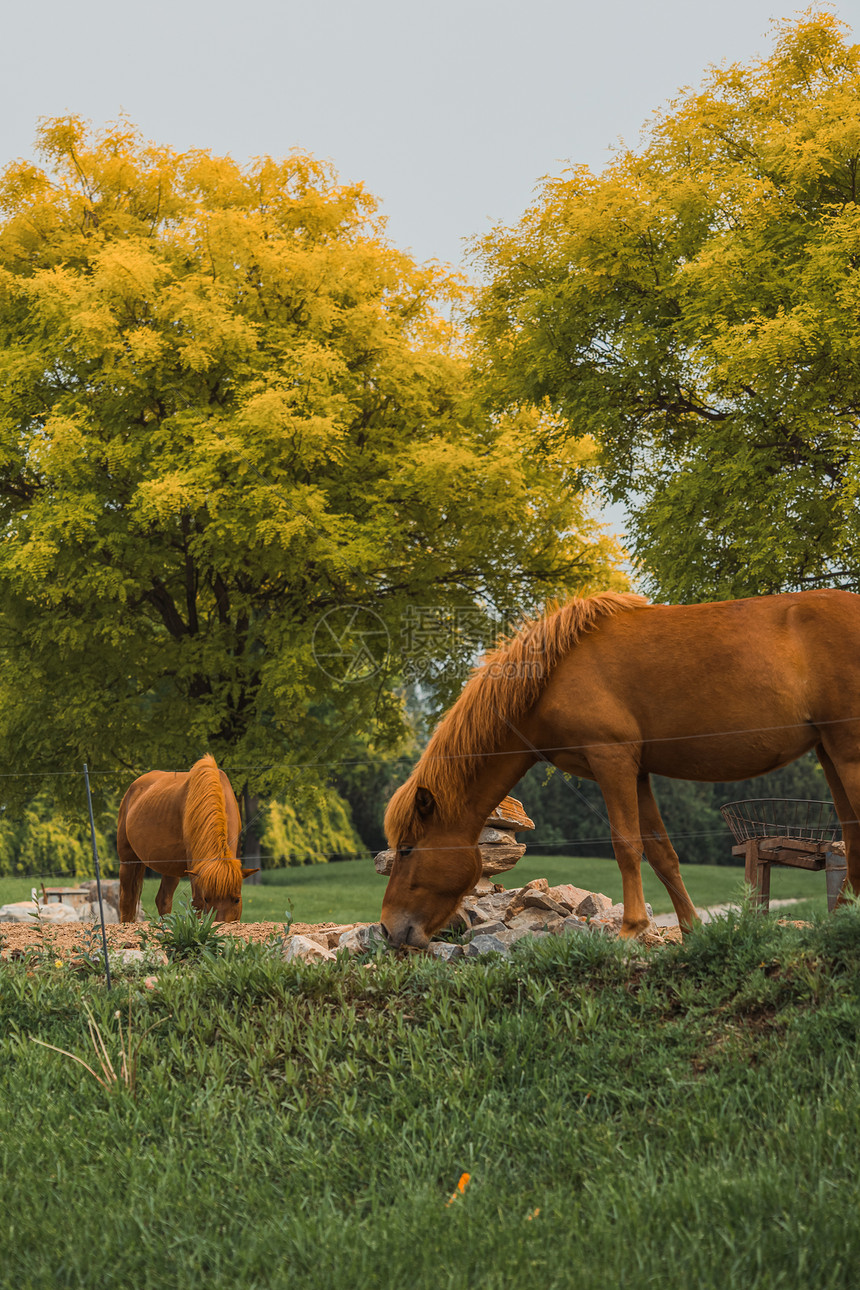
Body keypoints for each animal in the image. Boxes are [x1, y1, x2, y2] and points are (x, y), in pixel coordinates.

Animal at [117, 753, 259, 928]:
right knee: (126, 900)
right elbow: (197, 903)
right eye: (207, 899)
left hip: (170, 865)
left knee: (163, 900)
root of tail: (133, 787)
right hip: (127, 860)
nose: (220, 923)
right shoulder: (194, 866)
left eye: (237, 900)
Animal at [384, 590, 860, 949]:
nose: (389, 929)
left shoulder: (611, 760)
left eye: (407, 849)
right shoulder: (638, 773)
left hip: (847, 750)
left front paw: (631, 930)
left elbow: (626, 845)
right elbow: (662, 854)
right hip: (830, 751)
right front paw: (691, 931)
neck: (551, 675)